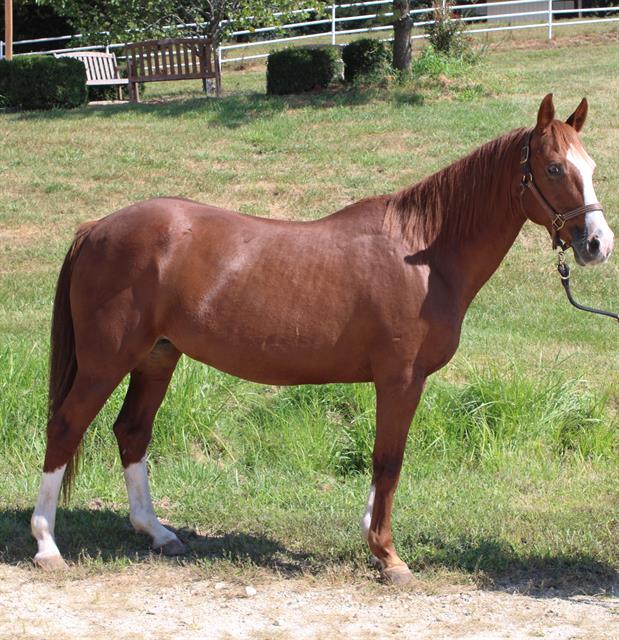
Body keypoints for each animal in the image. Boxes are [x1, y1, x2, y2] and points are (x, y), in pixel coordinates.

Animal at [32, 96, 616, 584]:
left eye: (590, 168)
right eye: (554, 168)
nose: (597, 244)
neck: (425, 254)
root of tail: (95, 228)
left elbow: (382, 464)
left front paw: (373, 543)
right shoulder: (401, 380)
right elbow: (388, 460)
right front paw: (389, 557)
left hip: (156, 358)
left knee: (132, 432)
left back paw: (157, 532)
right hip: (107, 361)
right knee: (65, 427)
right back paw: (47, 545)